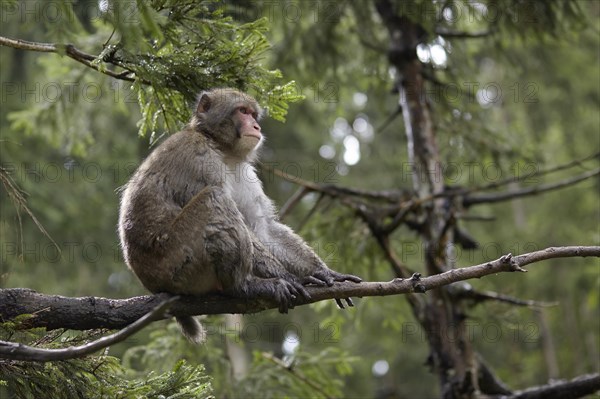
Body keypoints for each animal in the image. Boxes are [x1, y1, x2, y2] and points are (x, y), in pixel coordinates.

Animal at [117, 88, 360, 344]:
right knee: (215, 198)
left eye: (253, 114)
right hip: (174, 263)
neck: (221, 148)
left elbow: (263, 228)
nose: (256, 126)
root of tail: (151, 284)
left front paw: (322, 272)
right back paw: (243, 287)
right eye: (242, 111)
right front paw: (293, 278)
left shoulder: (244, 171)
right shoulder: (199, 159)